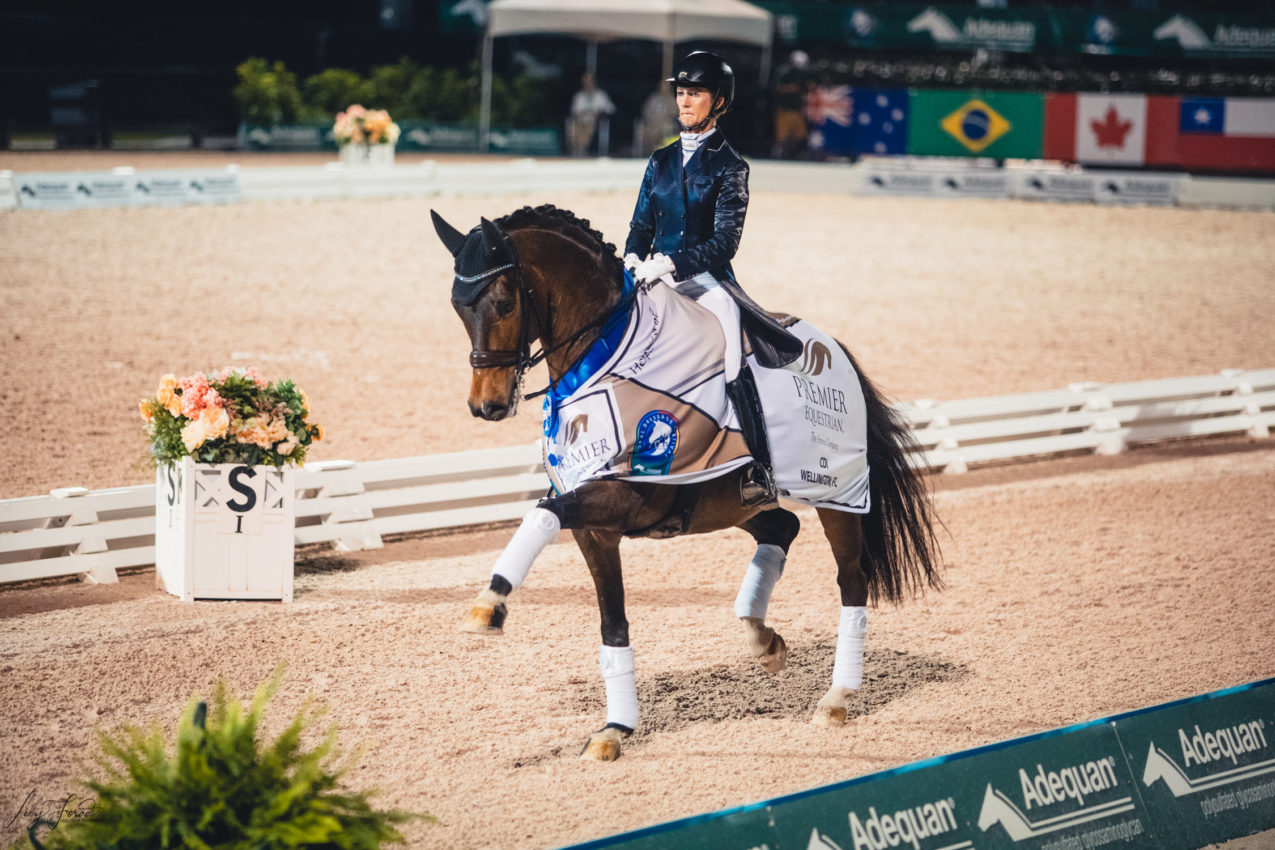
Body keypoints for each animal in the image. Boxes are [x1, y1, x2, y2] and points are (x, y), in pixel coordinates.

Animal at [433, 202, 943, 759]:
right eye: (457, 307)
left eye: (504, 303)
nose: (486, 405)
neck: (604, 357)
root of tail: (834, 346)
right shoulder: (595, 528)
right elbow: (612, 622)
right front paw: (615, 729)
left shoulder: (622, 496)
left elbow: (541, 516)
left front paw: (488, 606)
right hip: (728, 502)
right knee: (780, 528)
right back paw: (762, 640)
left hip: (837, 494)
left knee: (851, 580)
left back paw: (836, 699)